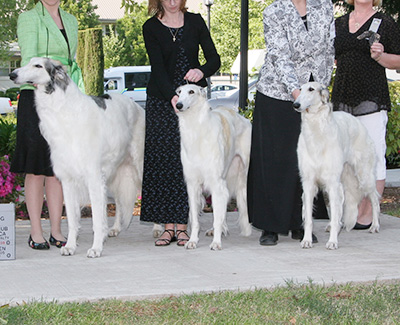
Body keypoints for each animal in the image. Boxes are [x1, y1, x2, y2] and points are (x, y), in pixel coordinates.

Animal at [10, 57, 151, 256]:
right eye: (27, 62)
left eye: (38, 65)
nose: (12, 74)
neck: (64, 111)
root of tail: (137, 106)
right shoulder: (67, 179)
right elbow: (72, 220)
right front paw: (69, 246)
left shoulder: (94, 177)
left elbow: (97, 220)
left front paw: (96, 248)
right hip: (114, 172)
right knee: (118, 200)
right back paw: (115, 228)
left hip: (140, 165)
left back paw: (157, 229)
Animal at [174, 83, 252, 248]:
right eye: (179, 92)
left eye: (192, 91)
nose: (178, 105)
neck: (196, 131)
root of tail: (244, 118)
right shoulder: (192, 184)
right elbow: (195, 219)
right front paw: (192, 241)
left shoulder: (216, 181)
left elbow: (217, 217)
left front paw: (216, 243)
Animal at [292, 81, 380, 248]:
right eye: (299, 89)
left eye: (311, 89)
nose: (295, 104)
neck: (316, 134)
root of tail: (357, 121)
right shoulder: (308, 182)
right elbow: (309, 218)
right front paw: (307, 240)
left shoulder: (332, 182)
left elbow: (334, 213)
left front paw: (332, 242)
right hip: (341, 180)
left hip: (363, 176)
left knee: (374, 197)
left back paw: (374, 226)